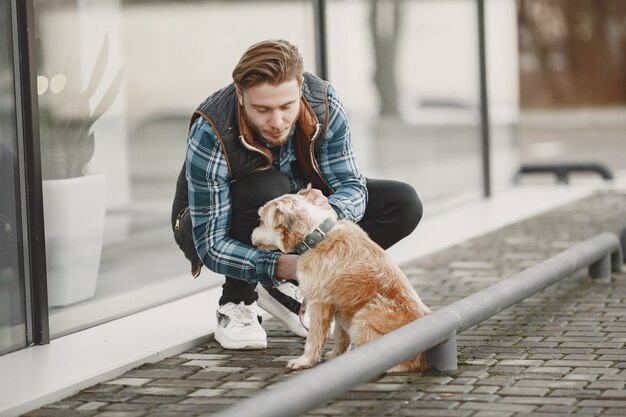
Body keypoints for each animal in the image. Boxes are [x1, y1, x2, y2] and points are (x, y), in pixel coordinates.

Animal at [249, 188, 428, 370]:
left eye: (261, 221)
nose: (251, 235)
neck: (316, 236)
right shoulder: (338, 307)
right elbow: (341, 336)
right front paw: (337, 356)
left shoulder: (319, 303)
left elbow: (315, 337)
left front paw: (304, 361)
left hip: (361, 319)